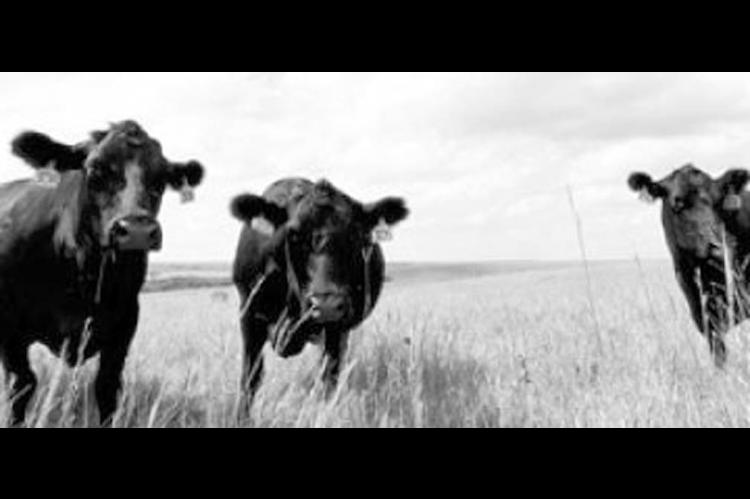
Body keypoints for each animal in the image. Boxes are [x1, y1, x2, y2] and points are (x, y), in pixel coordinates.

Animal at [0, 120, 205, 426]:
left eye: (162, 178)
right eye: (95, 170)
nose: (137, 230)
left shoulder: (125, 322)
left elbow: (107, 387)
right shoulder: (9, 326)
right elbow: (21, 383)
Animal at [230, 178, 409, 403]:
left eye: (356, 236)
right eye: (293, 236)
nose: (327, 305)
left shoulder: (336, 328)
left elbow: (328, 380)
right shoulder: (248, 314)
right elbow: (250, 379)